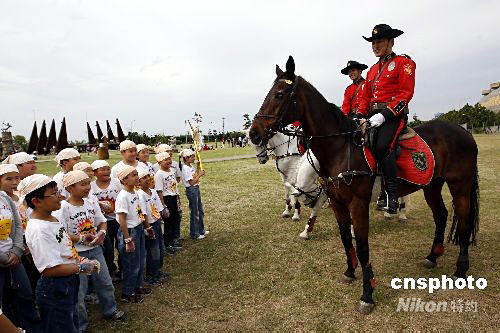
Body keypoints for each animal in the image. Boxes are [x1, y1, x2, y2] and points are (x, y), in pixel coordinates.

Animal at [250, 56, 480, 314]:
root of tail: (463, 131)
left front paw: (367, 294)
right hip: (431, 185)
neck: (340, 148)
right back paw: (432, 256)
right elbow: (344, 237)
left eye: (279, 94)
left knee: (464, 220)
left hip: (460, 185)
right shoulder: (337, 201)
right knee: (441, 215)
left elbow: (361, 245)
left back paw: (460, 269)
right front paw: (350, 271)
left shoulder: (358, 203)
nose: (253, 133)